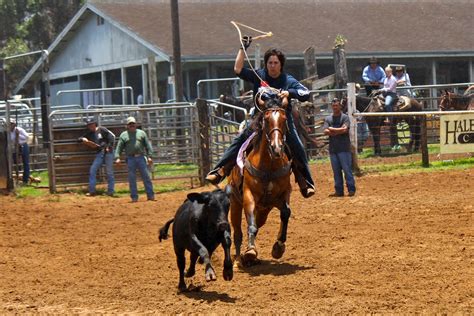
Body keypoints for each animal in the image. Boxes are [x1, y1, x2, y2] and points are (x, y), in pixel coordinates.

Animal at [228, 92, 290, 266]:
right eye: (266, 119)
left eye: (284, 119)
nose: (276, 148)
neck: (268, 167)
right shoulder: (248, 197)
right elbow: (251, 226)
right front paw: (250, 252)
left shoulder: (283, 194)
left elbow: (286, 213)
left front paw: (278, 247)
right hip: (235, 203)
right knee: (238, 232)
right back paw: (238, 259)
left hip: (264, 209)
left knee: (257, 221)